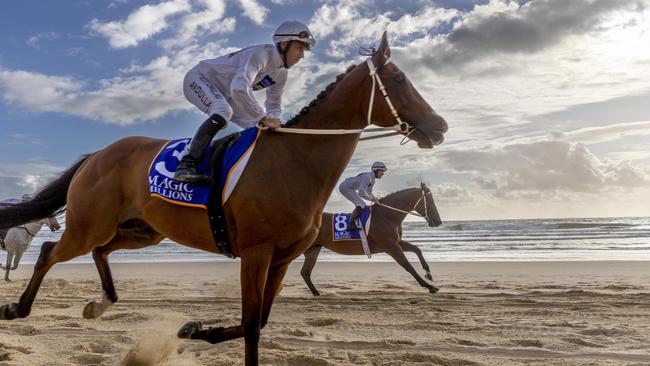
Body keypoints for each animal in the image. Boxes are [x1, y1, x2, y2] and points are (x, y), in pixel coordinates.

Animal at [300, 182, 440, 296]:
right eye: (430, 200)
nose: (438, 221)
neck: (387, 216)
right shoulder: (391, 246)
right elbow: (408, 266)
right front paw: (430, 287)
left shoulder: (396, 242)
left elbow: (417, 249)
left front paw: (428, 273)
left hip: (313, 249)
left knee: (305, 272)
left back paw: (317, 293)